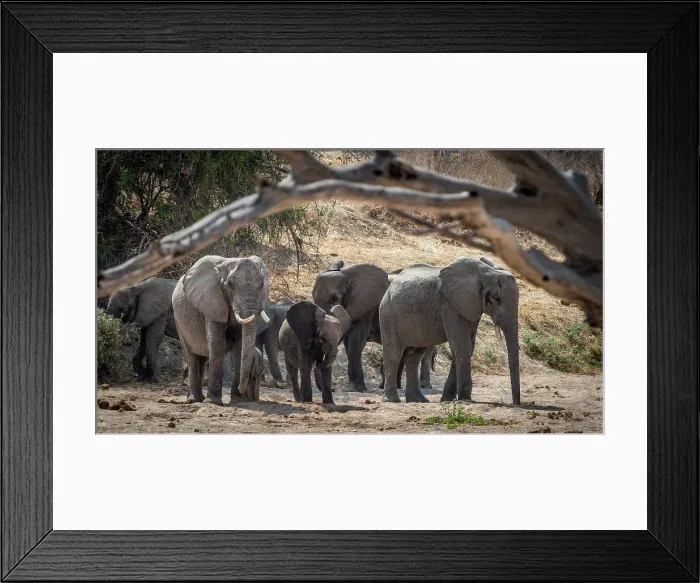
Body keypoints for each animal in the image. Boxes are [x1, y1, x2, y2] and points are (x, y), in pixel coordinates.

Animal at [172, 255, 270, 405]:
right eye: (230, 284)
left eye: (261, 285)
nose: (243, 391)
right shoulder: (212, 303)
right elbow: (216, 345)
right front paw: (214, 402)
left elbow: (239, 348)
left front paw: (238, 401)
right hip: (178, 321)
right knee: (192, 358)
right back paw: (194, 400)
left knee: (202, 360)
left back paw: (198, 398)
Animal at [312, 261, 389, 392]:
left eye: (335, 299)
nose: (333, 389)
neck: (347, 276)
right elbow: (348, 341)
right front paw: (355, 386)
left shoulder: (367, 305)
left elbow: (356, 339)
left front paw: (358, 388)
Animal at [379, 257, 521, 404]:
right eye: (496, 298)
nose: (515, 403)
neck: (486, 272)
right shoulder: (450, 306)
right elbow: (461, 346)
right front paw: (464, 399)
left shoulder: (470, 306)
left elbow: (467, 346)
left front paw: (447, 399)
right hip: (388, 316)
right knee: (394, 356)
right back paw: (392, 400)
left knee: (414, 357)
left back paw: (418, 400)